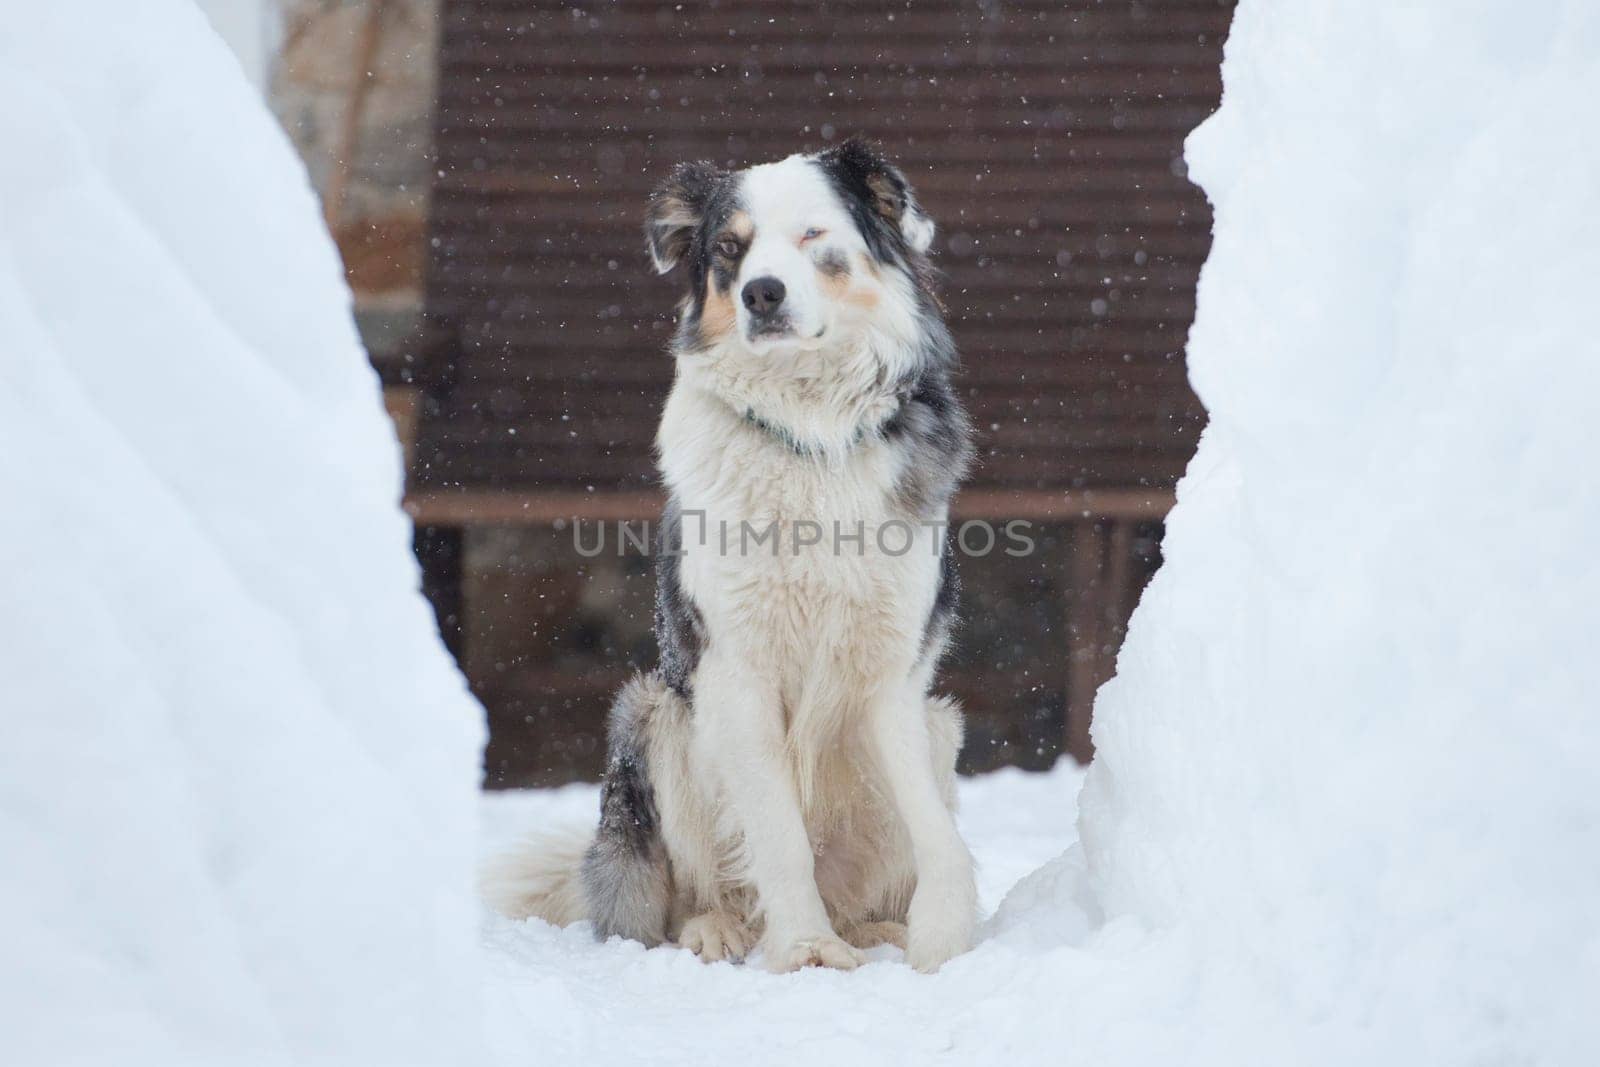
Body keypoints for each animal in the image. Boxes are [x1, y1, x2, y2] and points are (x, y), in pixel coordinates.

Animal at [476, 141, 972, 979]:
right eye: (730, 250)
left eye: (812, 235)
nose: (760, 293)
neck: (808, 430)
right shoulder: (735, 671)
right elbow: (777, 836)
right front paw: (804, 949)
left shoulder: (892, 673)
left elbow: (936, 831)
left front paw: (944, 938)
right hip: (655, 713)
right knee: (692, 897)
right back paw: (720, 929)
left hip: (941, 727)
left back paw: (879, 930)